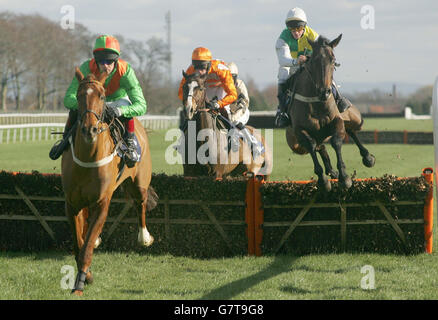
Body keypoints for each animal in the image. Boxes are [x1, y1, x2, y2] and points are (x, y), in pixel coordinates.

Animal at [61, 67, 157, 296]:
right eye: (79, 95)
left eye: (102, 96)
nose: (89, 129)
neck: (88, 158)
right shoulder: (71, 203)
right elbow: (79, 244)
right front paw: (86, 276)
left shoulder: (102, 203)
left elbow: (86, 248)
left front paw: (79, 284)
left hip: (139, 183)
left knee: (140, 204)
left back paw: (144, 237)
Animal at [286, 34, 374, 192]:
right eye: (314, 60)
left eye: (333, 60)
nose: (325, 92)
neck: (317, 103)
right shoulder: (299, 130)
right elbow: (311, 145)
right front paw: (323, 180)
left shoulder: (337, 120)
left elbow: (336, 141)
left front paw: (344, 177)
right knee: (319, 146)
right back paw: (331, 171)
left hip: (351, 117)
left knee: (350, 131)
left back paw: (367, 158)